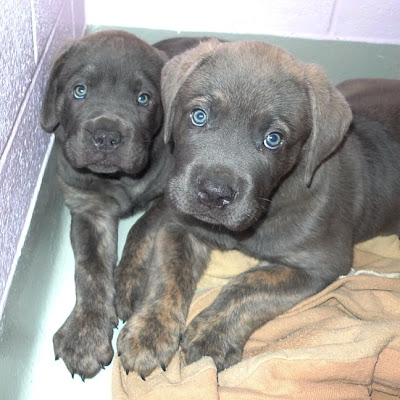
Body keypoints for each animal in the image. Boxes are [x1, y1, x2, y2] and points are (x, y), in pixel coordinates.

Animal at [41, 29, 206, 380]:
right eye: (80, 91)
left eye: (143, 98)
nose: (106, 136)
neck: (118, 180)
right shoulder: (87, 209)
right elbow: (89, 269)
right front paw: (85, 334)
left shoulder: (172, 197)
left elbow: (141, 230)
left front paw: (130, 283)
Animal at [115, 40, 400, 378]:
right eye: (199, 116)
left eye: (273, 139)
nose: (214, 193)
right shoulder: (179, 226)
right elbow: (167, 277)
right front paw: (149, 333)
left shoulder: (321, 264)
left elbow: (248, 287)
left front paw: (211, 336)